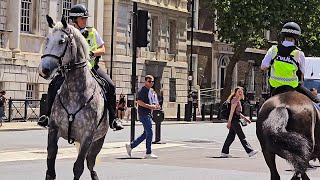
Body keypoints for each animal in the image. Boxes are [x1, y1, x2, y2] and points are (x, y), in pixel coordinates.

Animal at [38, 15, 109, 180]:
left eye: (61, 41)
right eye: (47, 39)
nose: (44, 70)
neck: (75, 91)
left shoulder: (87, 136)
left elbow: (78, 167)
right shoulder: (54, 129)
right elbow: (50, 165)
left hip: (98, 140)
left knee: (90, 163)